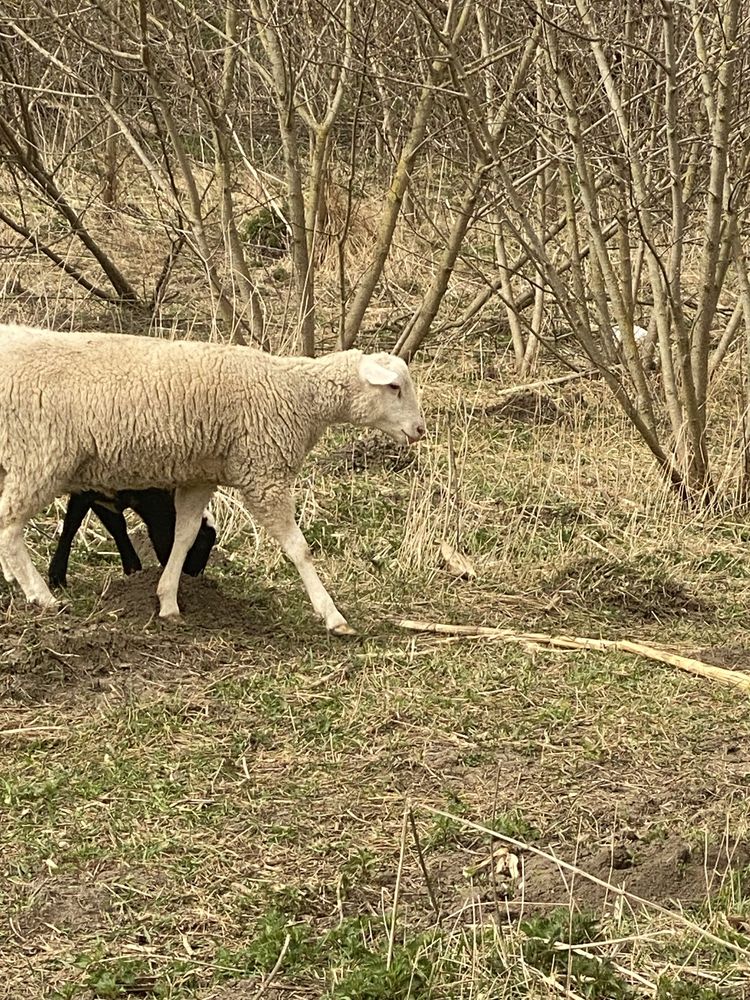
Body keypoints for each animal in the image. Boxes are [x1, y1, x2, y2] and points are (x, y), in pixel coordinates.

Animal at [0, 328, 426, 632]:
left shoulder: (201, 475)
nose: (420, 430)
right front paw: (333, 616)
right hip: (40, 456)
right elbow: (298, 548)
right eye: (394, 387)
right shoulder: (264, 475)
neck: (296, 393)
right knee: (8, 527)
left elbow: (184, 535)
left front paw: (168, 601)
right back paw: (41, 596)